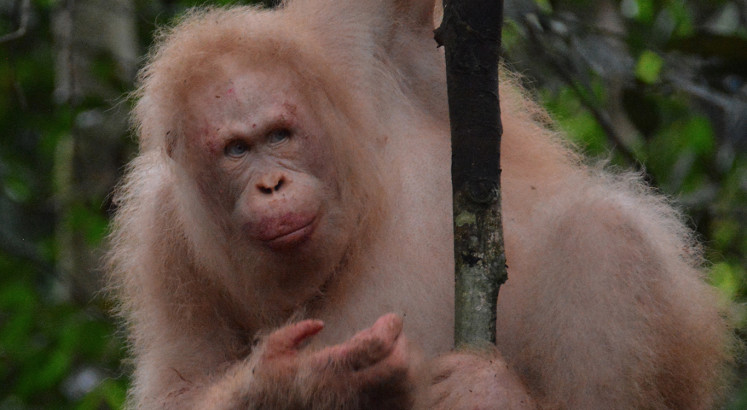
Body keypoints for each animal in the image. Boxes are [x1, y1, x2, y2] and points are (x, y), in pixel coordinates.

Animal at [107, 0, 734, 408]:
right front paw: (300, 380)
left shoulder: (348, 43)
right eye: (236, 150)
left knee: (605, 235)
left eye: (279, 135)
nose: (271, 186)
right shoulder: (160, 232)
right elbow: (181, 383)